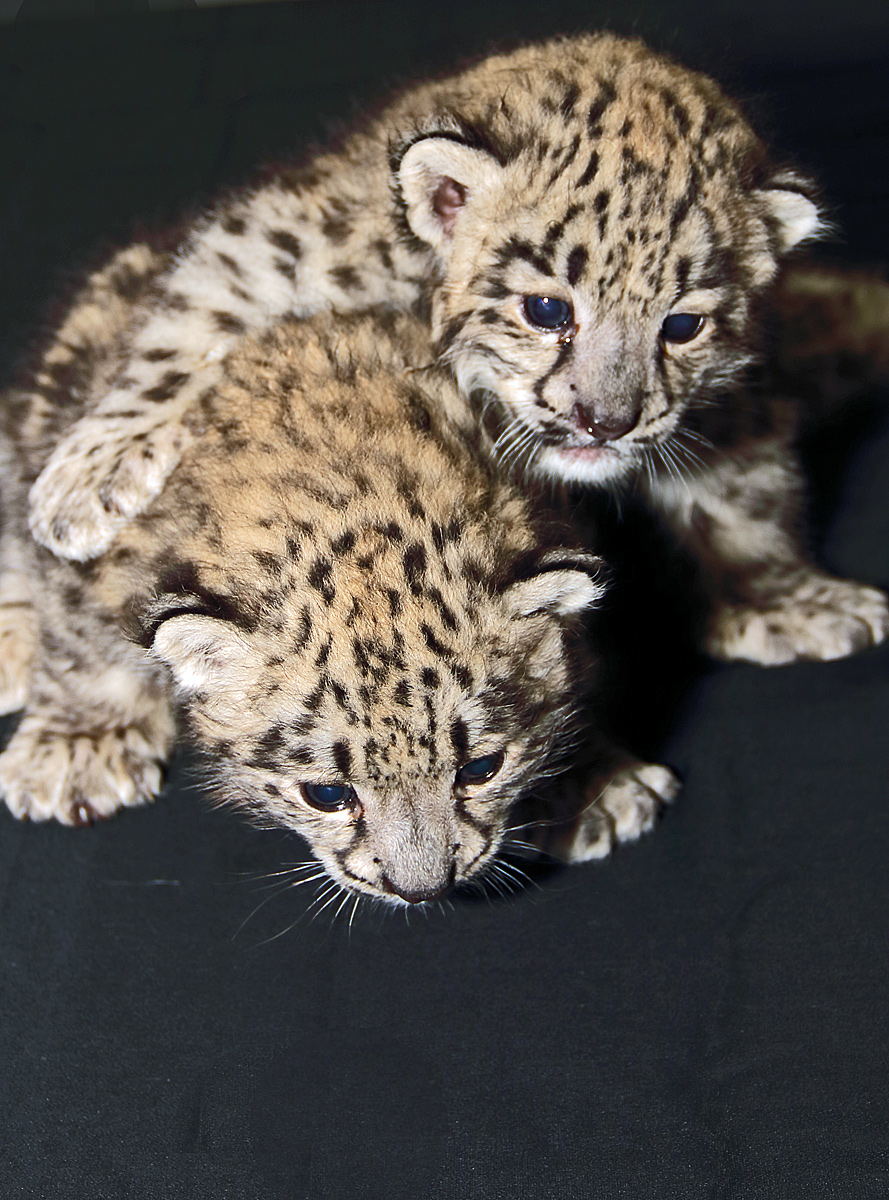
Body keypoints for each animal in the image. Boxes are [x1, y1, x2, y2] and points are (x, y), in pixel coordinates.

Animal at [0, 246, 679, 905]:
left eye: (481, 768)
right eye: (327, 795)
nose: (424, 887)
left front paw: (594, 781)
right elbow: (80, 638)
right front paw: (79, 745)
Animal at [22, 31, 889, 668]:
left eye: (681, 327)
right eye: (546, 309)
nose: (605, 421)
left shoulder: (728, 401)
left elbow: (744, 496)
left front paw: (783, 598)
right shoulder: (281, 242)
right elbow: (190, 322)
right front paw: (84, 483)